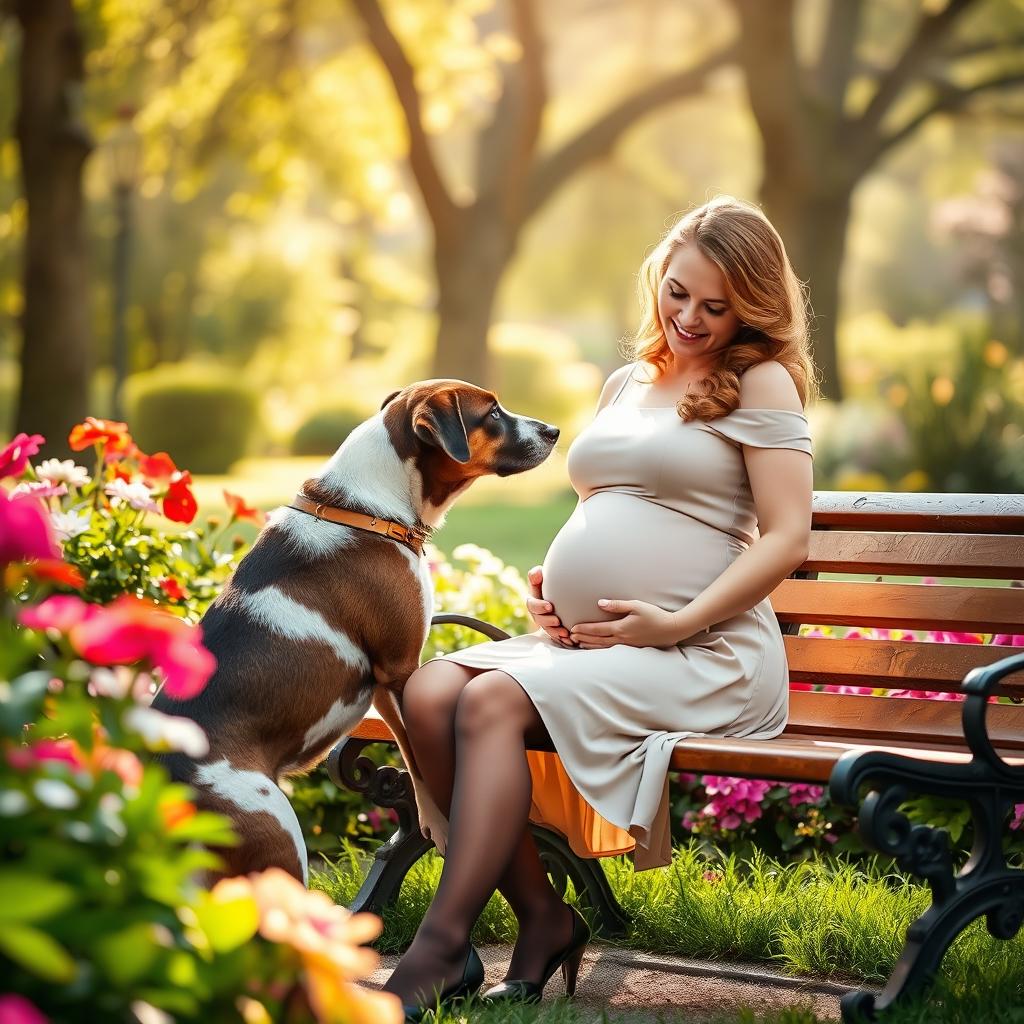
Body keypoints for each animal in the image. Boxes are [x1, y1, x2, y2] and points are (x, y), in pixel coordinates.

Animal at [153, 380, 561, 884]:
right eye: (493, 413)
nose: (554, 431)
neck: (368, 508)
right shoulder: (404, 668)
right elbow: (423, 760)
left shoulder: (385, 681)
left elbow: (408, 753)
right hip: (279, 833)